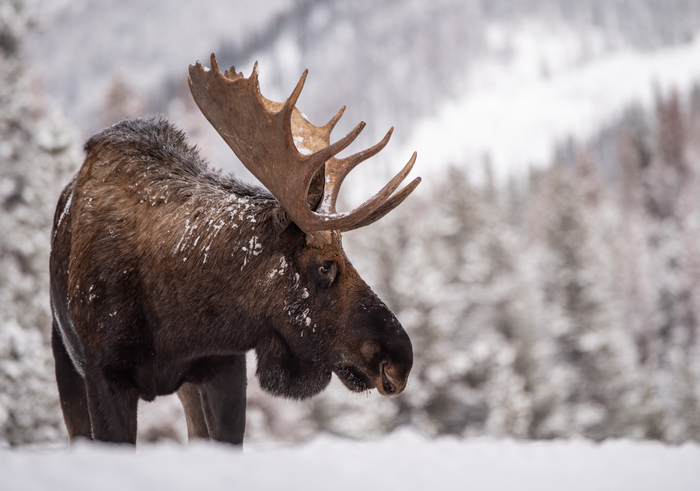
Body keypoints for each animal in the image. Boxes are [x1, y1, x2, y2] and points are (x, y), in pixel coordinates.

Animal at [50, 55, 422, 448]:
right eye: (324, 266)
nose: (399, 359)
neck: (176, 323)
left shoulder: (225, 366)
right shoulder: (104, 374)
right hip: (64, 359)